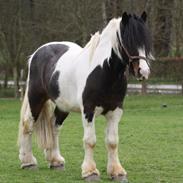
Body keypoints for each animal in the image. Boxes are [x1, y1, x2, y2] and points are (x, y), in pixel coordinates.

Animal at [18, 12, 153, 181]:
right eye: (128, 41)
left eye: (146, 41)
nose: (143, 71)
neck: (104, 72)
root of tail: (37, 53)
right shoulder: (88, 110)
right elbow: (90, 141)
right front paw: (90, 172)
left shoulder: (115, 110)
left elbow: (112, 141)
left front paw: (117, 172)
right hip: (35, 98)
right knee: (28, 124)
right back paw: (28, 162)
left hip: (63, 106)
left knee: (54, 126)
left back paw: (55, 161)